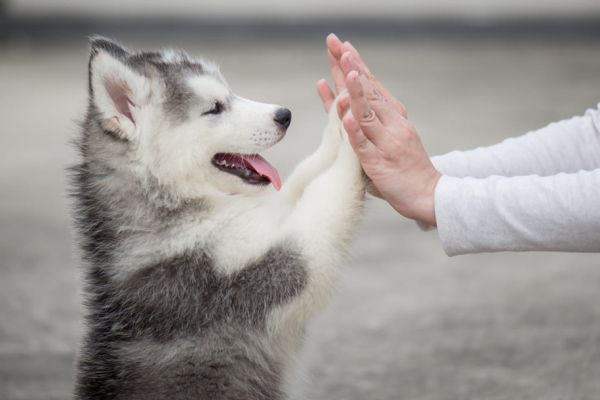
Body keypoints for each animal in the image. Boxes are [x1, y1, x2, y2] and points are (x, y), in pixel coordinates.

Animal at [71, 36, 366, 398]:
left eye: (230, 94)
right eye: (215, 107)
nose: (284, 115)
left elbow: (304, 176)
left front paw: (342, 113)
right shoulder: (260, 270)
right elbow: (327, 193)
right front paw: (359, 135)